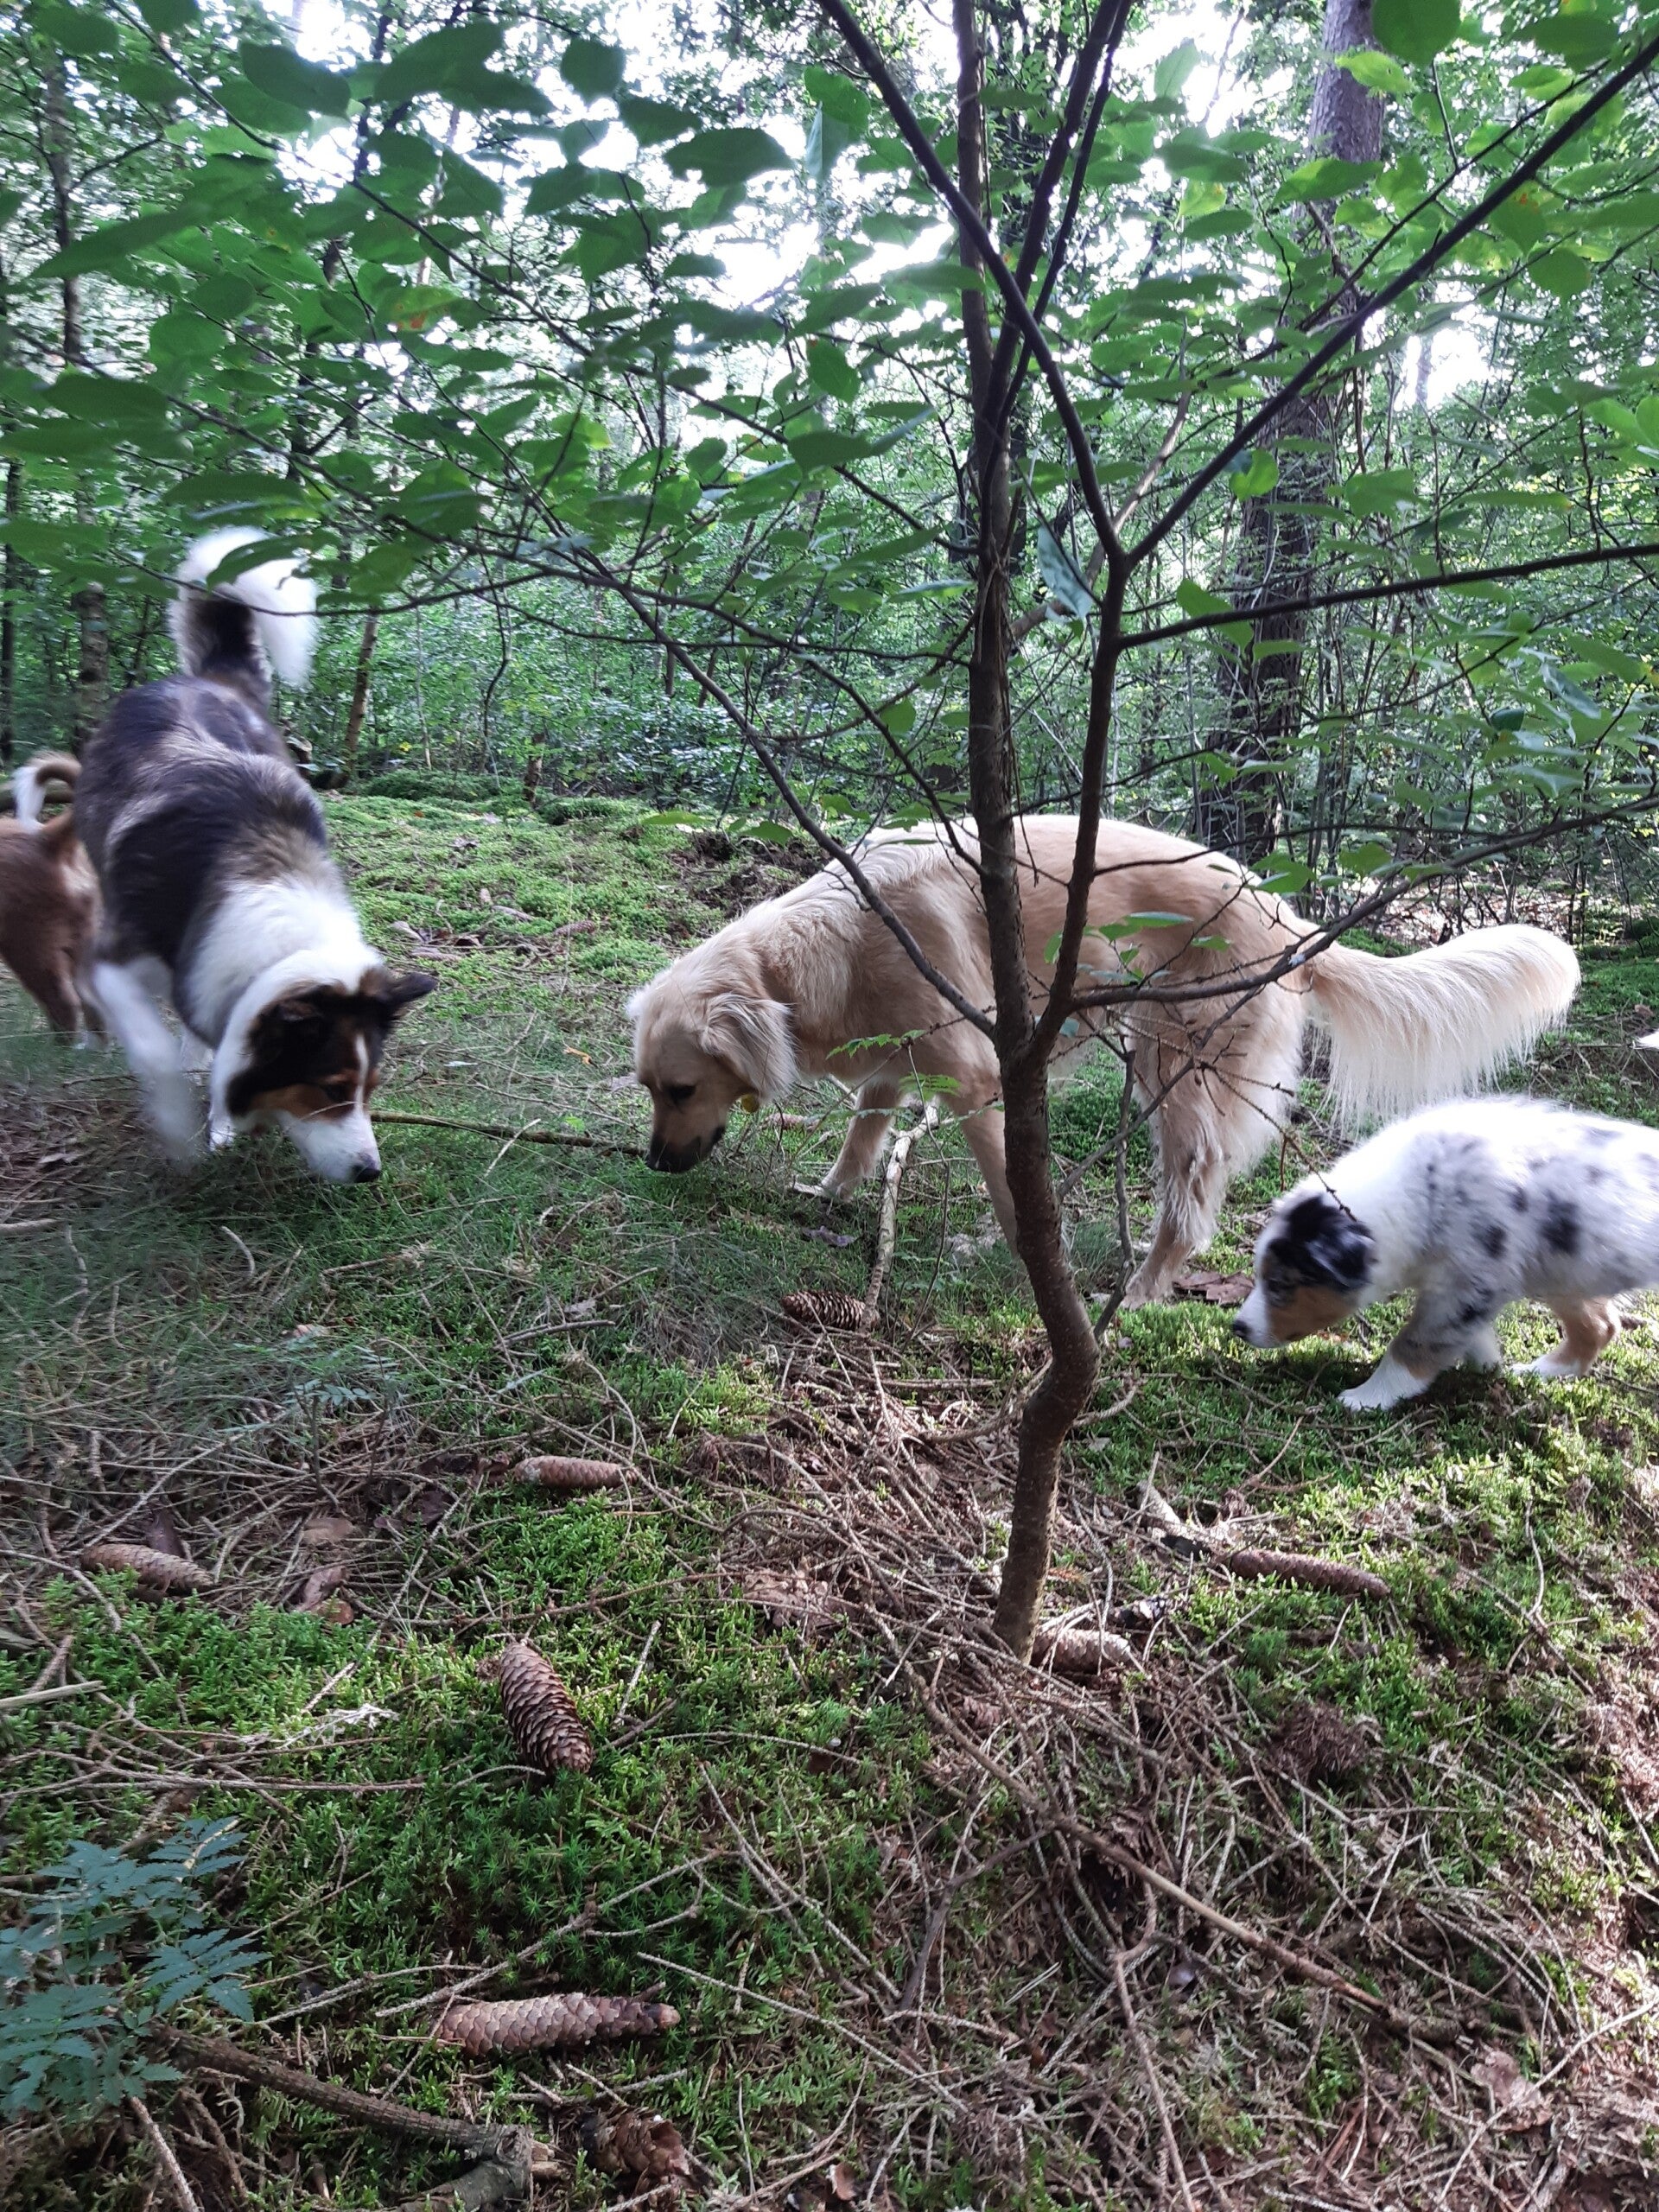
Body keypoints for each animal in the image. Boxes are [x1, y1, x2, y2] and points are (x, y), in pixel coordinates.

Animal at [72, 528, 435, 1179]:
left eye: (371, 1090)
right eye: (331, 1088)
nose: (370, 1172)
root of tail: (212, 679)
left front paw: (217, 1121)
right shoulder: (113, 960)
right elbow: (154, 1051)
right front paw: (181, 1135)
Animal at [629, 818, 1579, 1303]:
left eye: (683, 1088)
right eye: (650, 1089)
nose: (655, 1167)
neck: (843, 936)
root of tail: (1286, 915)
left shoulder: (981, 1076)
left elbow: (1012, 1188)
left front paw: (1022, 1257)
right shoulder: (898, 1056)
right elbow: (865, 1133)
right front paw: (831, 1193)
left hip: (1178, 1069)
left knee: (1191, 1209)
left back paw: (1142, 1293)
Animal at [1234, 1097, 1659, 1408]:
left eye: (1280, 1284)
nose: (1238, 1328)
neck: (1424, 1193)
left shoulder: (1465, 1288)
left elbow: (1413, 1344)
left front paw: (1367, 1397)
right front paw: (1487, 1362)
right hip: (1564, 1272)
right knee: (1601, 1325)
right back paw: (1540, 1370)